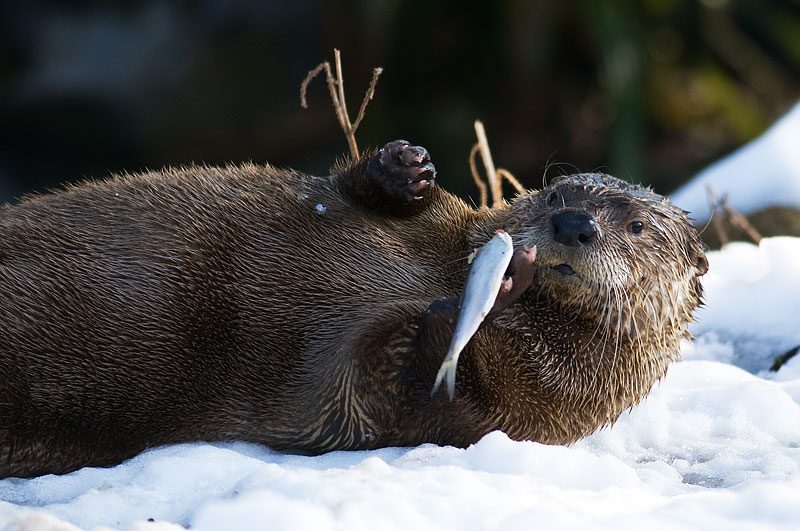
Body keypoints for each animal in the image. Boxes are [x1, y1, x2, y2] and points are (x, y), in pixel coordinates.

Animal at [0, 140, 708, 478]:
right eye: (558, 192)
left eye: (637, 225)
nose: (574, 223)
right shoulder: (449, 221)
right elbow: (357, 191)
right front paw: (405, 167)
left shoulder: (504, 412)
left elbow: (374, 388)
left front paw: (467, 309)